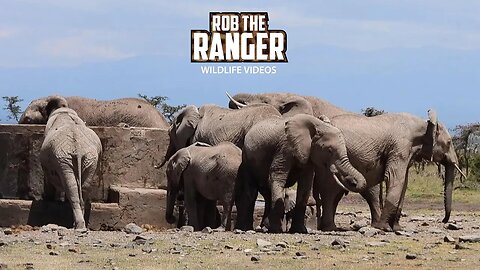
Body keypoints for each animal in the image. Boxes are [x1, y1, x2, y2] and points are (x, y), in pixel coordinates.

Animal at [39, 97, 102, 230]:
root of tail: (77, 147)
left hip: (63, 157)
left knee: (70, 185)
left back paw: (78, 226)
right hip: (90, 158)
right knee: (84, 186)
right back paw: (80, 225)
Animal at [236, 113, 368, 233]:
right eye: (330, 150)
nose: (352, 183)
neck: (317, 124)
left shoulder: (309, 154)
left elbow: (306, 183)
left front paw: (300, 230)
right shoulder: (285, 147)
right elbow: (278, 176)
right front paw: (276, 230)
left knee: (267, 194)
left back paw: (265, 227)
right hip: (246, 159)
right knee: (251, 191)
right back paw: (246, 228)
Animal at [316, 110, 464, 231]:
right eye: (449, 142)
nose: (443, 221)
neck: (424, 123)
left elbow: (404, 183)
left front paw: (397, 228)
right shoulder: (400, 147)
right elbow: (395, 179)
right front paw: (384, 228)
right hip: (331, 157)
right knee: (330, 191)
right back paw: (330, 228)